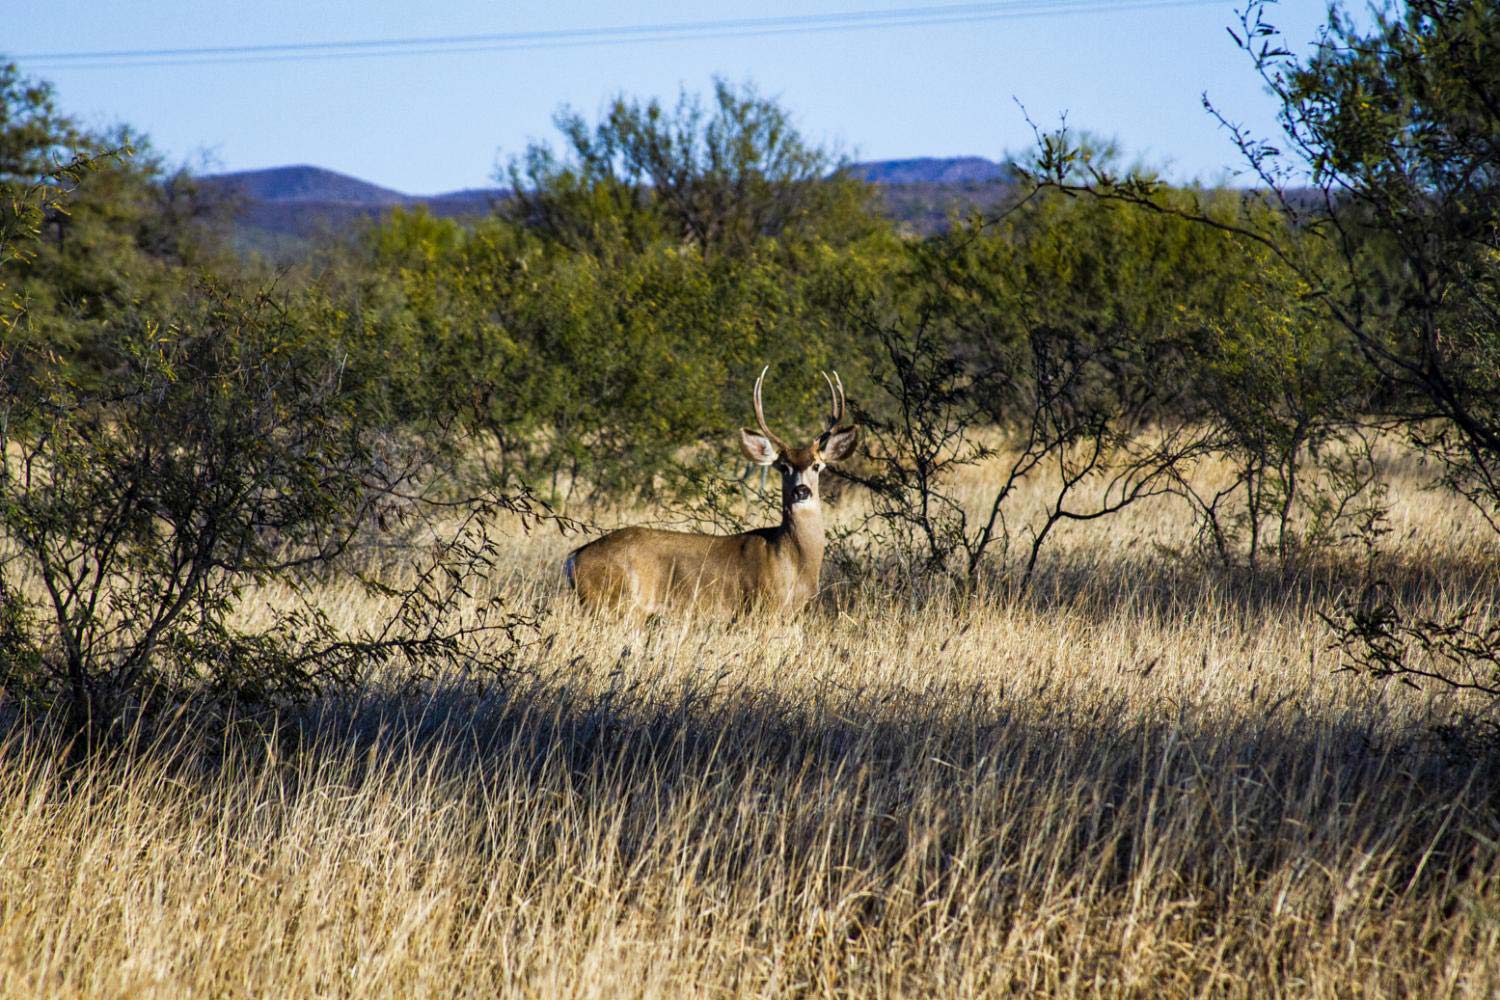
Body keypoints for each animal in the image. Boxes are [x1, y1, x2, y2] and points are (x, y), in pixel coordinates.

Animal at [564, 371, 858, 614]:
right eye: (783, 467)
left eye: (817, 465)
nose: (801, 491)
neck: (790, 559)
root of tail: (574, 558)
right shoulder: (760, 610)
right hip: (614, 604)